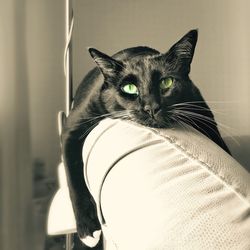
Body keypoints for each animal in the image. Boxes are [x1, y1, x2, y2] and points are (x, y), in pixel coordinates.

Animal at [62, 29, 230, 246]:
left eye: (166, 82)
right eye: (129, 88)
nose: (151, 107)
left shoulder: (202, 112)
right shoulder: (71, 129)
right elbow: (73, 179)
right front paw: (87, 229)